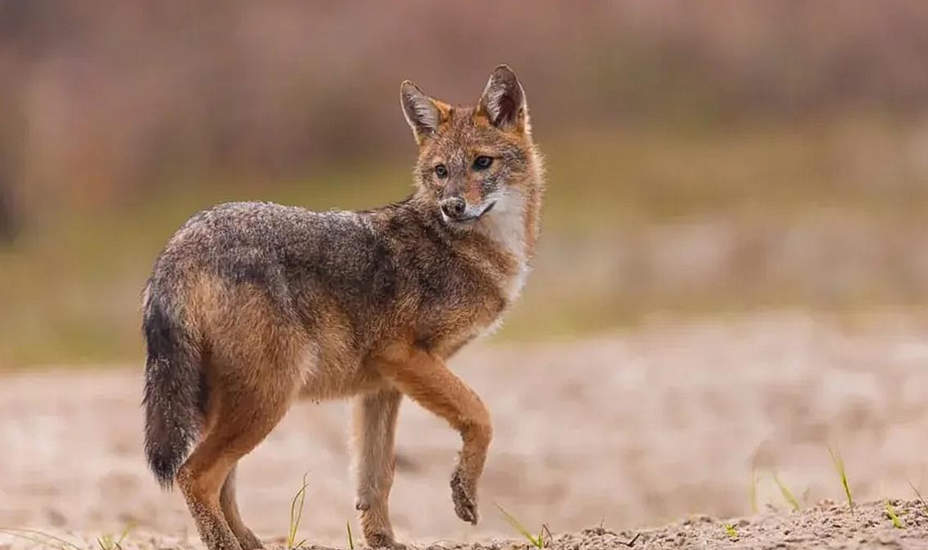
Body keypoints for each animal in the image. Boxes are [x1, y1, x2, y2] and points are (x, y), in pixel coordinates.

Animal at [141, 65, 543, 550]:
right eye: (441, 171)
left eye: (482, 163)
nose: (452, 206)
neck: (469, 248)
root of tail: (179, 243)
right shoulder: (405, 357)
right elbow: (481, 415)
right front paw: (463, 493)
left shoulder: (384, 385)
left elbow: (376, 477)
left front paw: (384, 541)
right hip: (268, 399)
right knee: (195, 476)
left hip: (234, 406)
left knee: (222, 484)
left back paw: (251, 542)